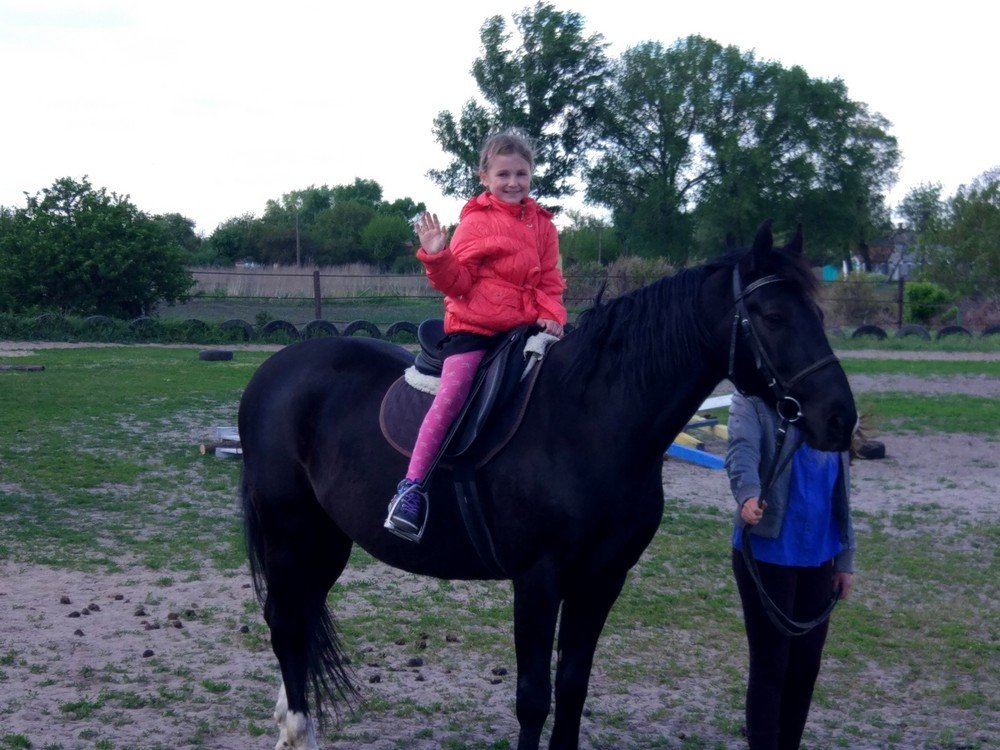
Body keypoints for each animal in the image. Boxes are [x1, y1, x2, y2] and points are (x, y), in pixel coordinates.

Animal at [238, 221, 857, 750]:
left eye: (818, 313)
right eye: (771, 315)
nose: (840, 419)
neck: (589, 419)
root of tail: (274, 370)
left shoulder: (603, 580)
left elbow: (573, 687)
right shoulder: (538, 579)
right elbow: (534, 696)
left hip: (326, 538)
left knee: (300, 617)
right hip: (289, 530)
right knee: (286, 621)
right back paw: (297, 731)